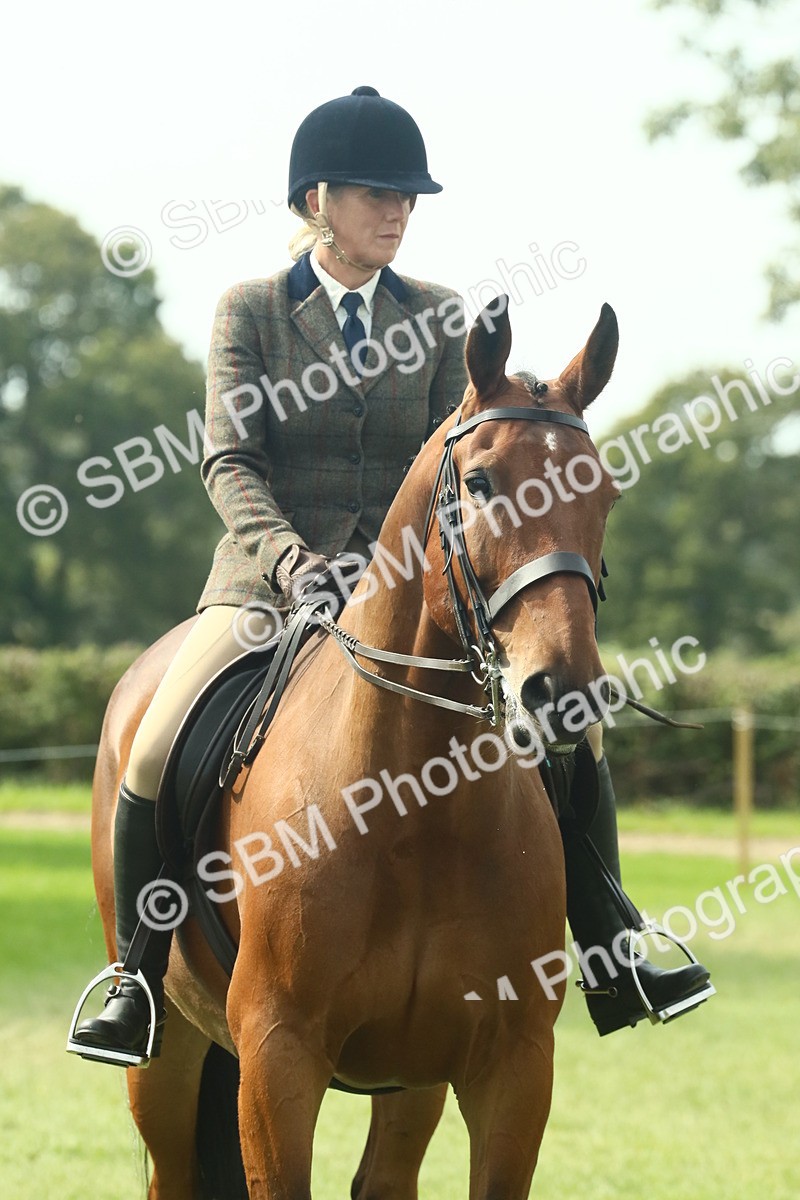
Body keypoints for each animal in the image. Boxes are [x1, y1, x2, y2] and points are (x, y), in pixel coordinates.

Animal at [85, 296, 620, 1198]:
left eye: (606, 492)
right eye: (480, 482)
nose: (564, 692)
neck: (414, 806)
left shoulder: (511, 1065)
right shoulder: (278, 1058)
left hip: (410, 1081)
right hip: (167, 1058)